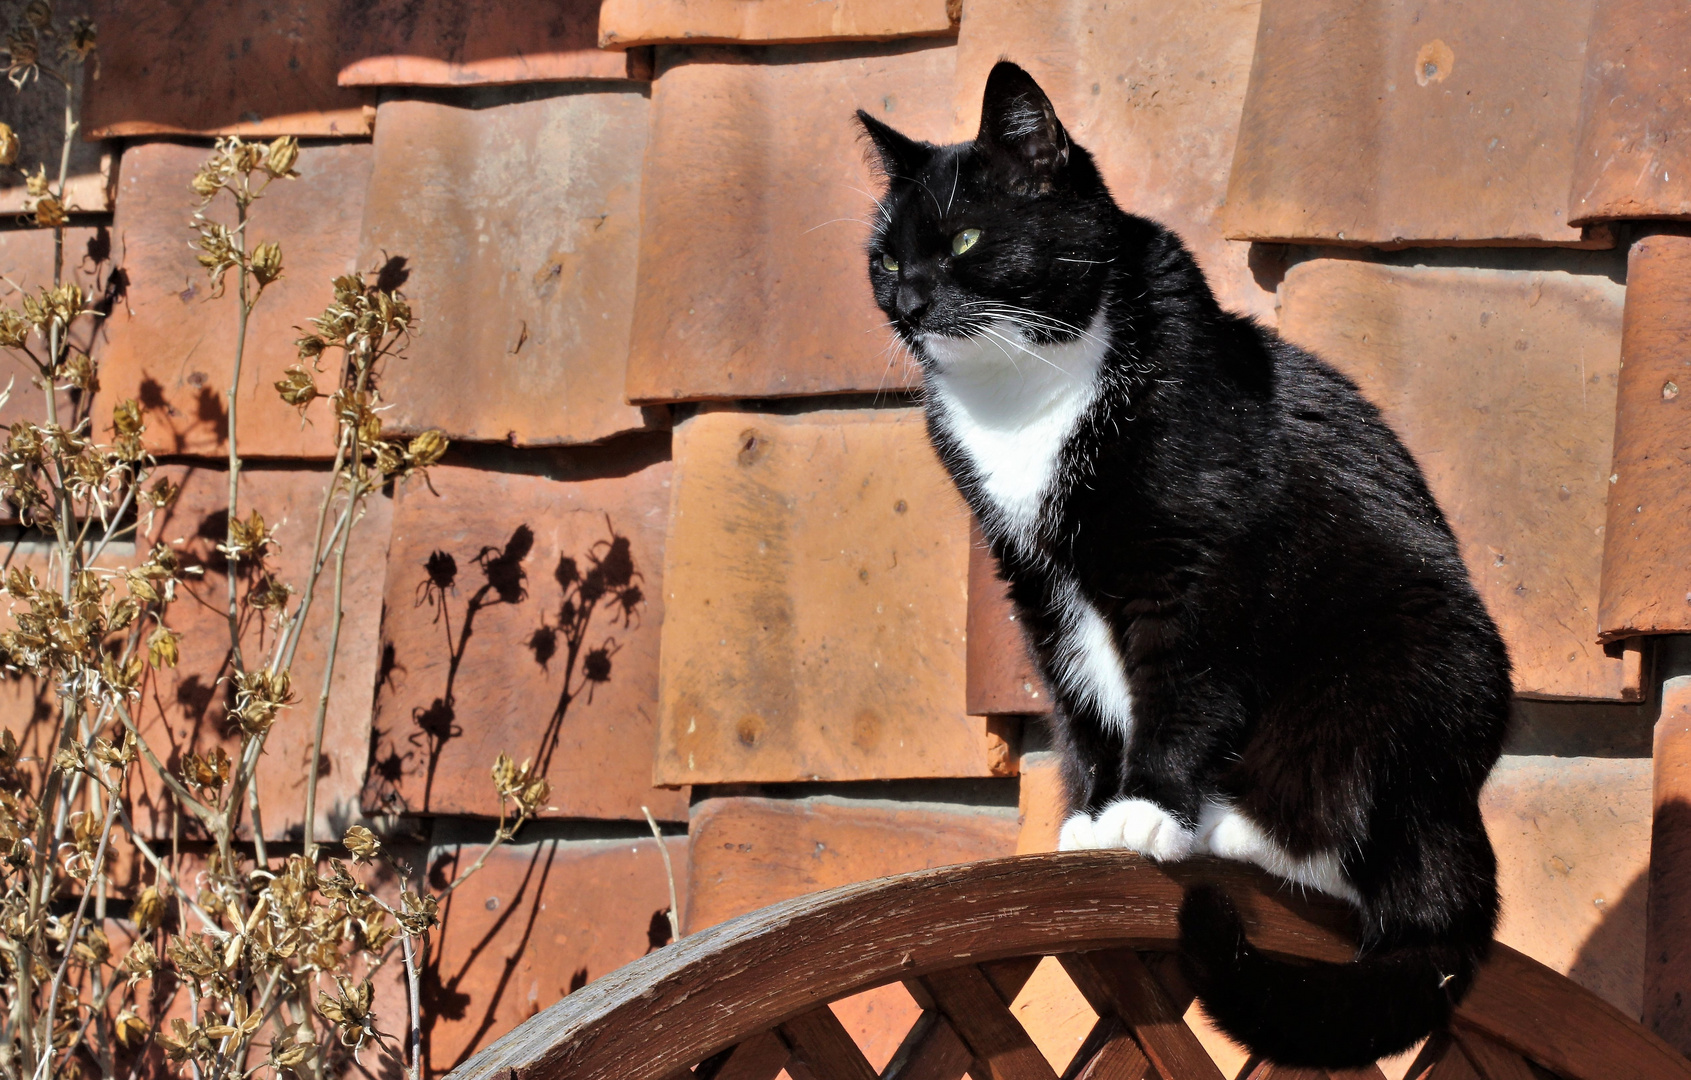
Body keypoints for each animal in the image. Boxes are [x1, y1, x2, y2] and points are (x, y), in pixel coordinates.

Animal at [859, 61, 1508, 1074]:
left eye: (964, 238)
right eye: (886, 259)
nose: (909, 301)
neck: (1027, 389)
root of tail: (1458, 822)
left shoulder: (1191, 561)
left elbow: (1183, 680)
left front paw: (1148, 809)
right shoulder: (1035, 580)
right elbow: (1081, 693)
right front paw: (1093, 811)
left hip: (1410, 663)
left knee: (1344, 823)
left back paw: (1227, 823)